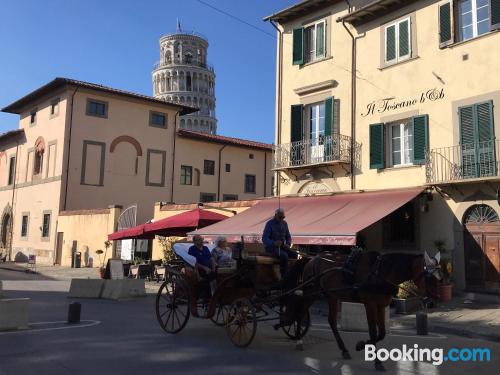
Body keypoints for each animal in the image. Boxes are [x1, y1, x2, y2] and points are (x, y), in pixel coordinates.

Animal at [282, 251, 442, 372]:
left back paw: (343, 349)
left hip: (331, 296)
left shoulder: (381, 306)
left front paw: (360, 345)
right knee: (300, 311)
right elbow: (373, 332)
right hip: (311, 293)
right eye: (429, 277)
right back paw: (298, 339)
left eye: (440, 277)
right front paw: (376, 361)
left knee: (331, 320)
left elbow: (381, 333)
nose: (433, 302)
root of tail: (312, 259)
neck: (381, 273)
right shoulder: (370, 305)